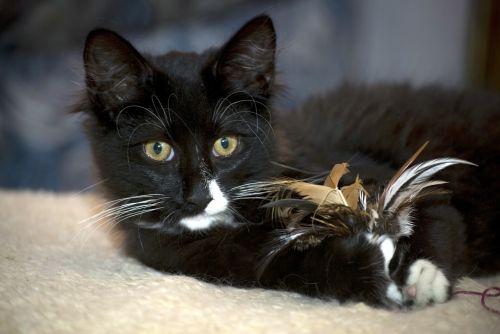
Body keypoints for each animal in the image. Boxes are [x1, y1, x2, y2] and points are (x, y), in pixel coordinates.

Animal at [76, 15, 498, 308]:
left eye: (225, 144)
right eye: (157, 149)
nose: (198, 197)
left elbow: (434, 209)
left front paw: (421, 276)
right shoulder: (204, 257)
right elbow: (286, 266)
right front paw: (368, 269)